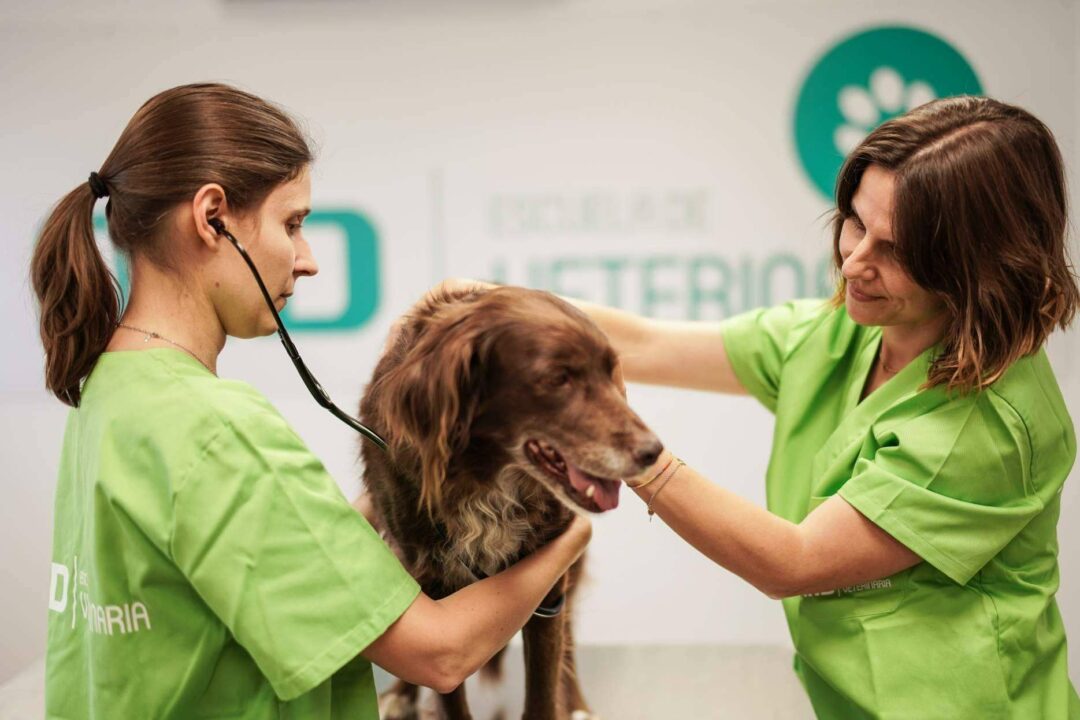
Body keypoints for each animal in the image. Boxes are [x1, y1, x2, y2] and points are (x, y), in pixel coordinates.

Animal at [360, 287, 656, 720]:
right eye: (558, 378)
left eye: (610, 373)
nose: (654, 451)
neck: (486, 481)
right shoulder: (434, 582)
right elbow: (448, 694)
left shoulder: (550, 580)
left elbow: (544, 687)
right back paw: (401, 695)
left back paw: (576, 704)